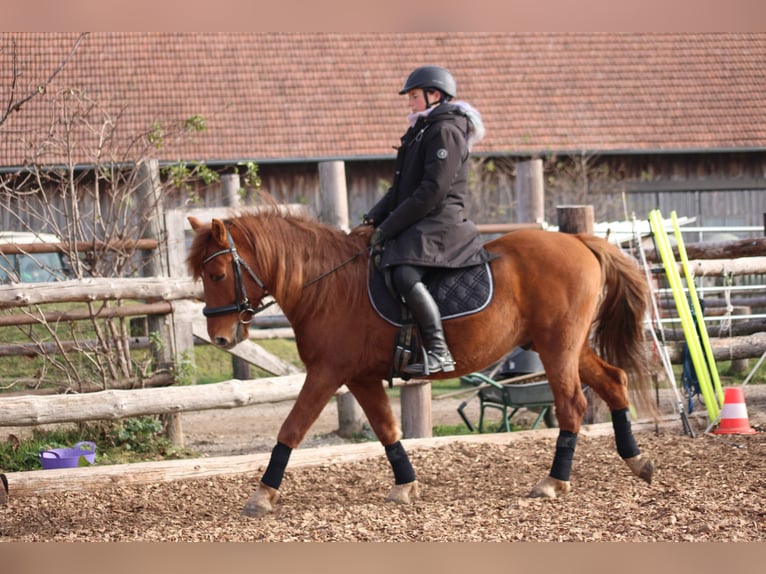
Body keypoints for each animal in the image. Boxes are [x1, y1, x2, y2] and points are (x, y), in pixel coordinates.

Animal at [188, 208, 660, 520]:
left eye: (216, 276)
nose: (220, 338)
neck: (327, 286)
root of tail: (578, 240)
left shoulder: (326, 373)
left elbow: (291, 428)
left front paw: (262, 495)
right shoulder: (359, 378)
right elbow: (387, 430)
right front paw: (405, 485)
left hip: (557, 346)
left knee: (571, 405)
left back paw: (554, 482)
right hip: (567, 345)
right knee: (613, 382)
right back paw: (638, 462)